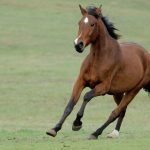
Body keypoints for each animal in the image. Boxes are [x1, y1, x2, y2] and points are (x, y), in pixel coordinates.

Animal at [46, 4, 150, 139]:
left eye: (92, 24)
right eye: (79, 23)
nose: (78, 45)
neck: (99, 59)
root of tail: (146, 55)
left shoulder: (103, 87)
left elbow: (86, 96)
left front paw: (77, 123)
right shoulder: (80, 81)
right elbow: (70, 104)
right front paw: (54, 129)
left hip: (133, 91)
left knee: (115, 112)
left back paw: (96, 133)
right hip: (117, 92)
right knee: (122, 111)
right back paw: (114, 133)